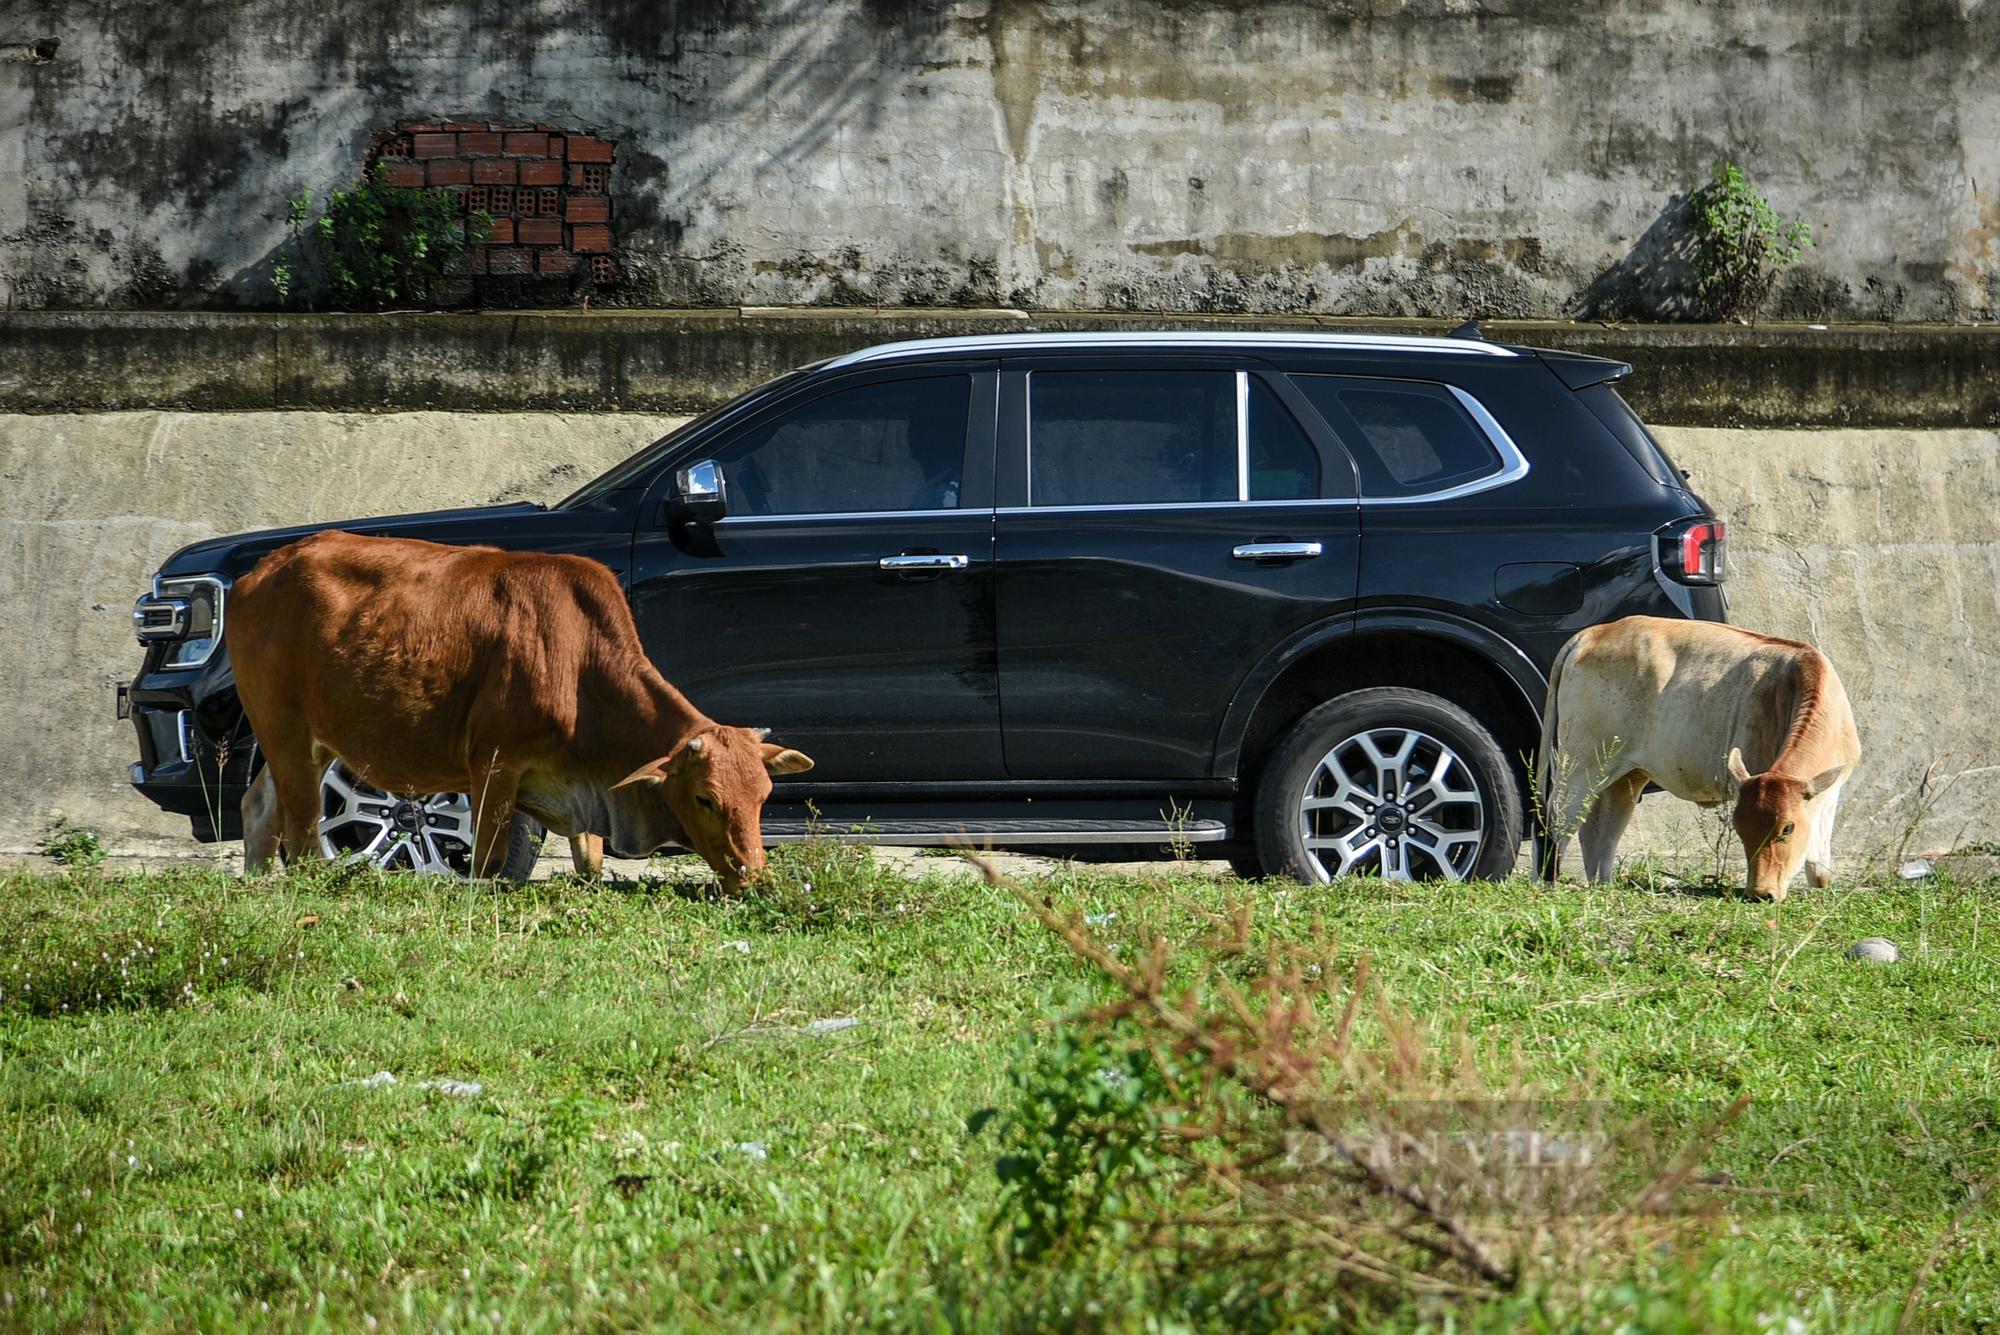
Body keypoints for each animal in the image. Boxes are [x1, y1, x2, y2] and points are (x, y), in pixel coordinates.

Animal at [223, 527, 808, 887]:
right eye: (705, 798)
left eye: (763, 797)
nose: (754, 876)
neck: (579, 664)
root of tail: (262, 571)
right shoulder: (494, 764)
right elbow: (489, 861)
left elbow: (590, 861)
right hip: (286, 732)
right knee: (300, 833)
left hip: (307, 741)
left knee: (259, 808)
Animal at [1544, 615, 1856, 895]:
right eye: (1740, 827)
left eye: (1788, 828)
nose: (1760, 893)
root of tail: (1592, 633)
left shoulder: (1828, 797)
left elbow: (1820, 873)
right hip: (1581, 763)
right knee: (1558, 817)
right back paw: (1548, 884)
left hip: (1624, 774)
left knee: (1600, 829)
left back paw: (1603, 886)